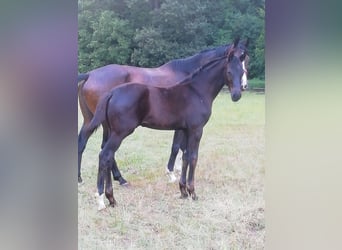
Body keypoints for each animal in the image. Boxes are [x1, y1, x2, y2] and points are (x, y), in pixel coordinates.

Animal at [83, 40, 246, 209]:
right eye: (229, 72)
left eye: (242, 70)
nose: (237, 94)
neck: (196, 90)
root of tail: (111, 93)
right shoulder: (196, 129)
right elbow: (193, 157)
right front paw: (192, 192)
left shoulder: (185, 129)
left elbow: (185, 156)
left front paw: (183, 191)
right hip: (119, 133)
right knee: (105, 155)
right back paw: (102, 198)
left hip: (110, 130)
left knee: (107, 156)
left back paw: (111, 198)